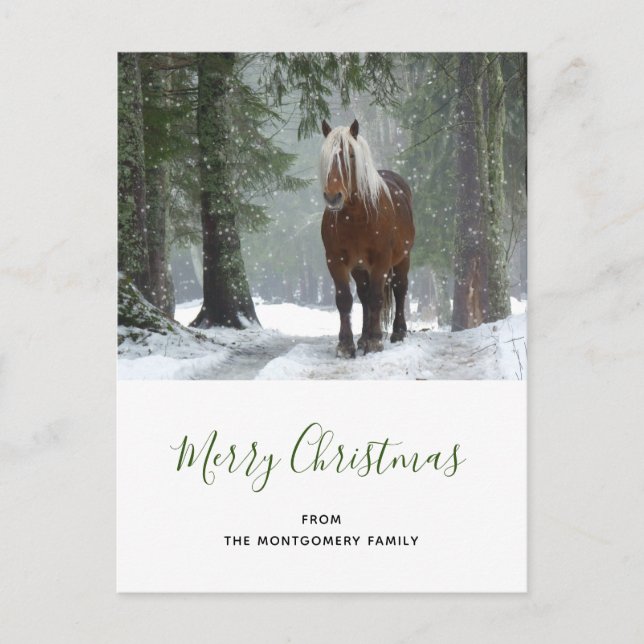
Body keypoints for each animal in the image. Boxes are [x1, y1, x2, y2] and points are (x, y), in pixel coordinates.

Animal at [319, 119, 415, 358]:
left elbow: (377, 298)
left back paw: (397, 332)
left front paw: (375, 341)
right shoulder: (335, 261)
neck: (356, 217)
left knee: (399, 289)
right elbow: (345, 300)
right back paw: (362, 337)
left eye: (351, 155)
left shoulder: (381, 260)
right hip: (360, 267)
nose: (333, 197)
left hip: (403, 259)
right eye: (325, 156)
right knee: (363, 296)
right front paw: (346, 345)